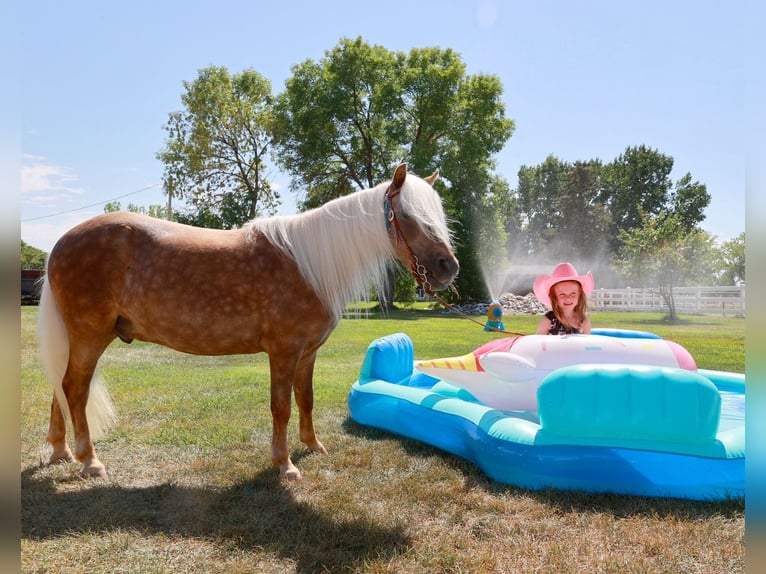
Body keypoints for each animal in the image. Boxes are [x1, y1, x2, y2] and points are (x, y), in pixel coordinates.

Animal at [37, 163, 459, 480]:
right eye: (408, 216)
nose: (448, 268)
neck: (309, 265)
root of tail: (60, 244)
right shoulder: (284, 352)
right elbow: (281, 406)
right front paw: (284, 464)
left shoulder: (307, 353)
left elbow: (305, 398)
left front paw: (313, 446)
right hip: (90, 335)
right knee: (74, 389)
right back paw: (90, 460)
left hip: (82, 338)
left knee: (62, 385)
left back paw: (60, 451)